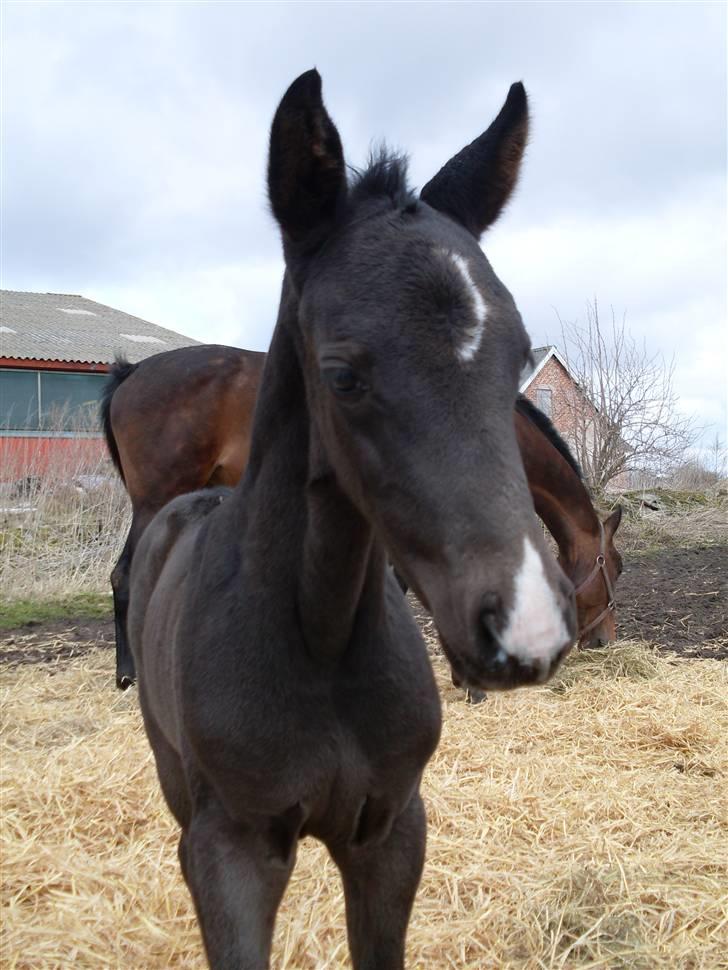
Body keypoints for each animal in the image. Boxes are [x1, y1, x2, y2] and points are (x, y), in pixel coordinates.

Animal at [128, 70, 576, 968]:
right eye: (341, 374)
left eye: (517, 360)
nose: (528, 628)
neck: (322, 636)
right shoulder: (229, 852)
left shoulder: (391, 832)